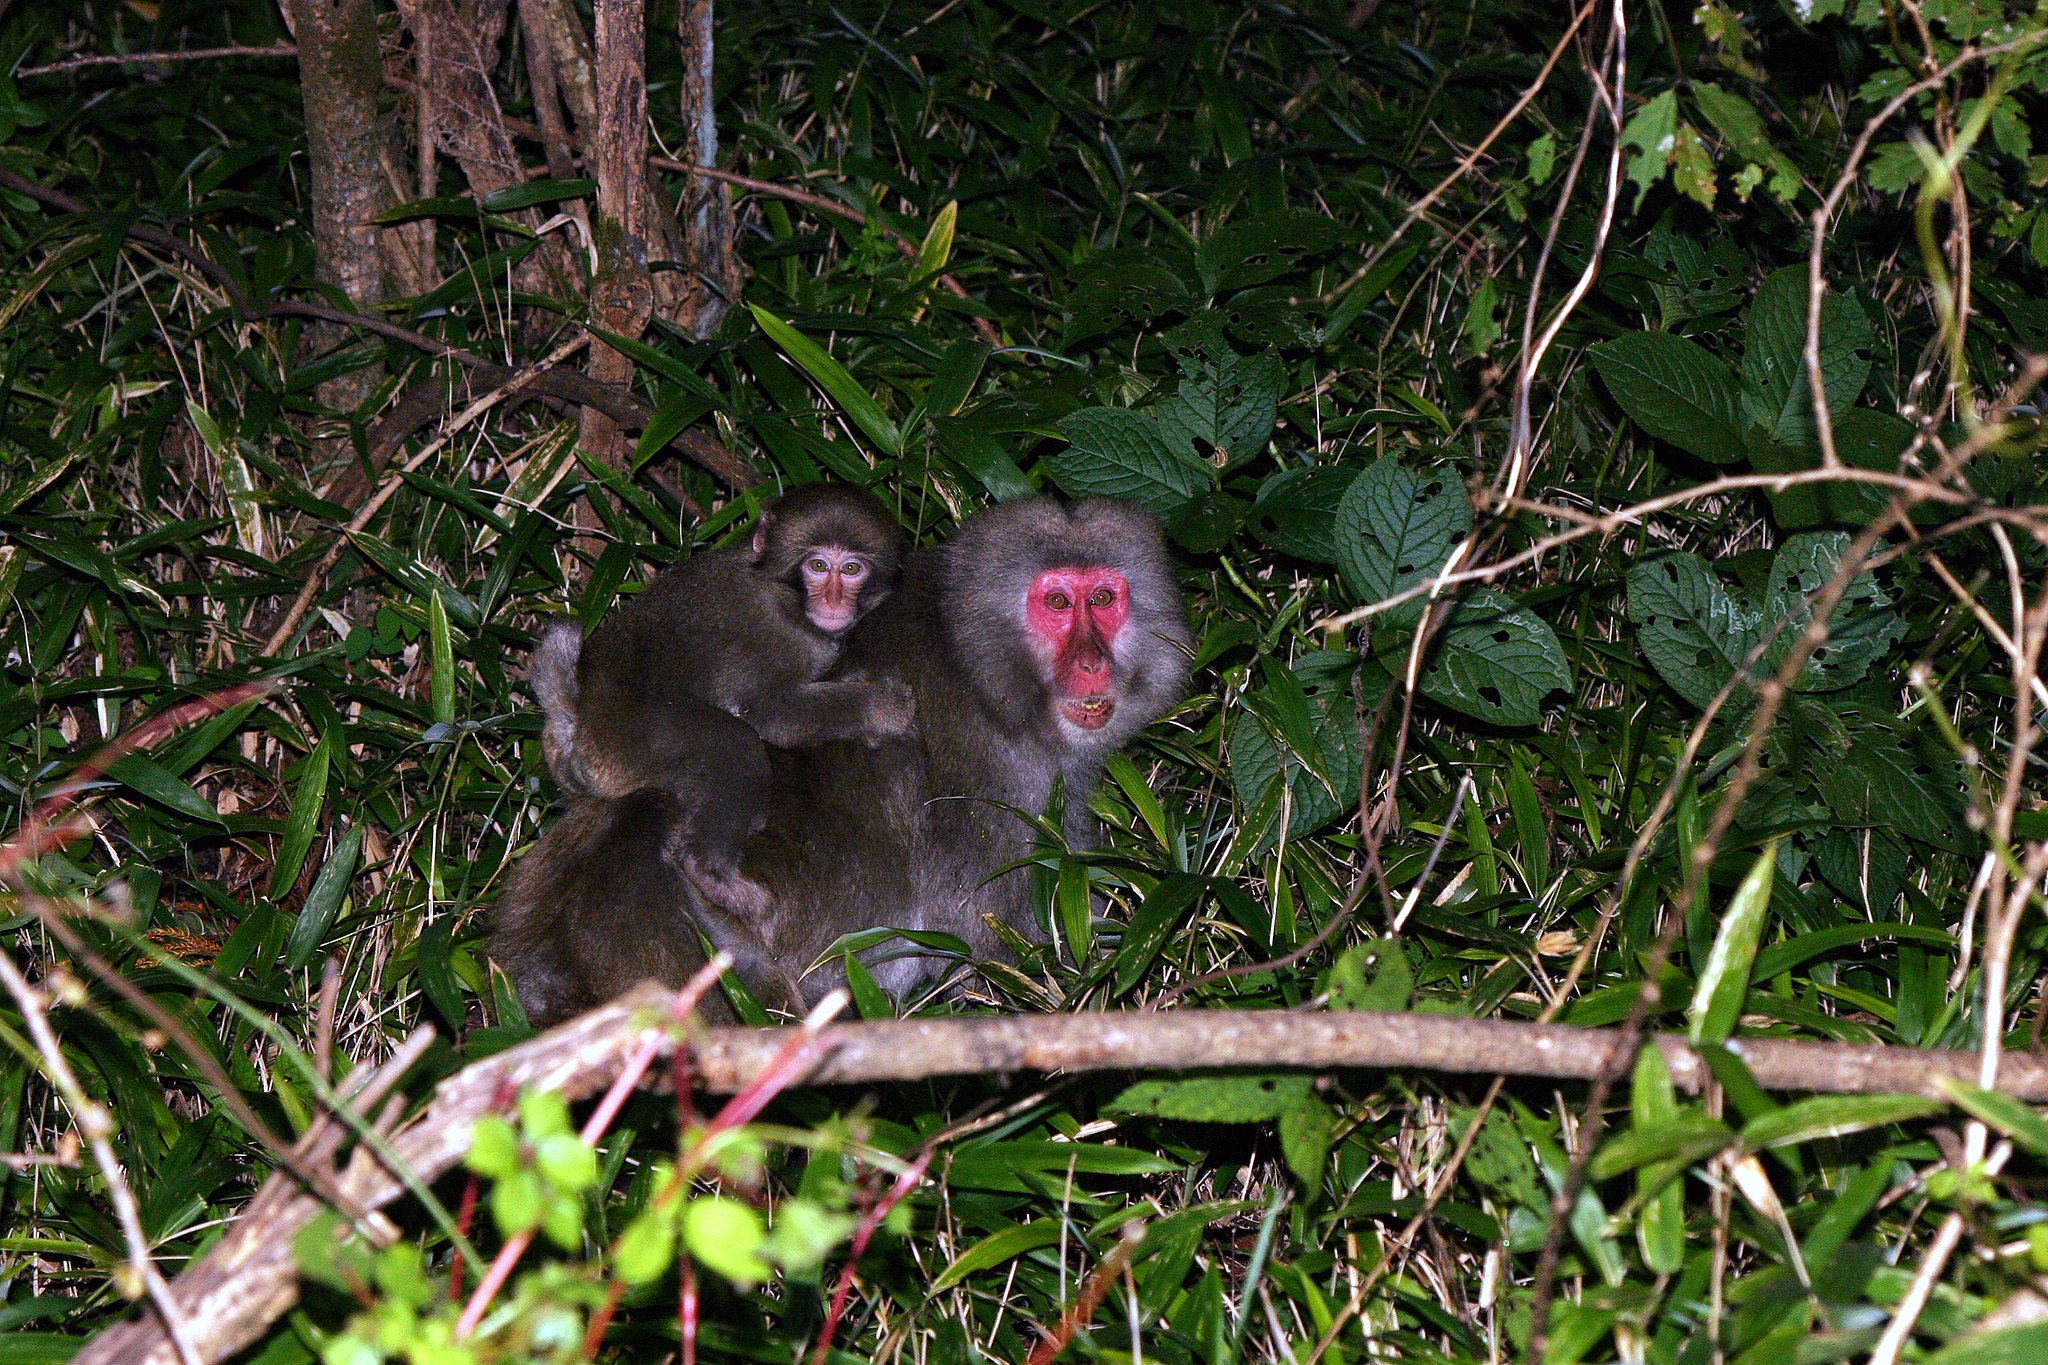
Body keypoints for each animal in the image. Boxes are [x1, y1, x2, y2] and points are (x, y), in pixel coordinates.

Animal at [528, 483, 912, 919]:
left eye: (850, 569)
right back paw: (713, 875)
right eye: (817, 565)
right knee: (733, 746)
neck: (784, 593)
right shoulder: (780, 639)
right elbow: (771, 715)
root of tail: (579, 719)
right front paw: (885, 709)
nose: (833, 601)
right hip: (631, 740)